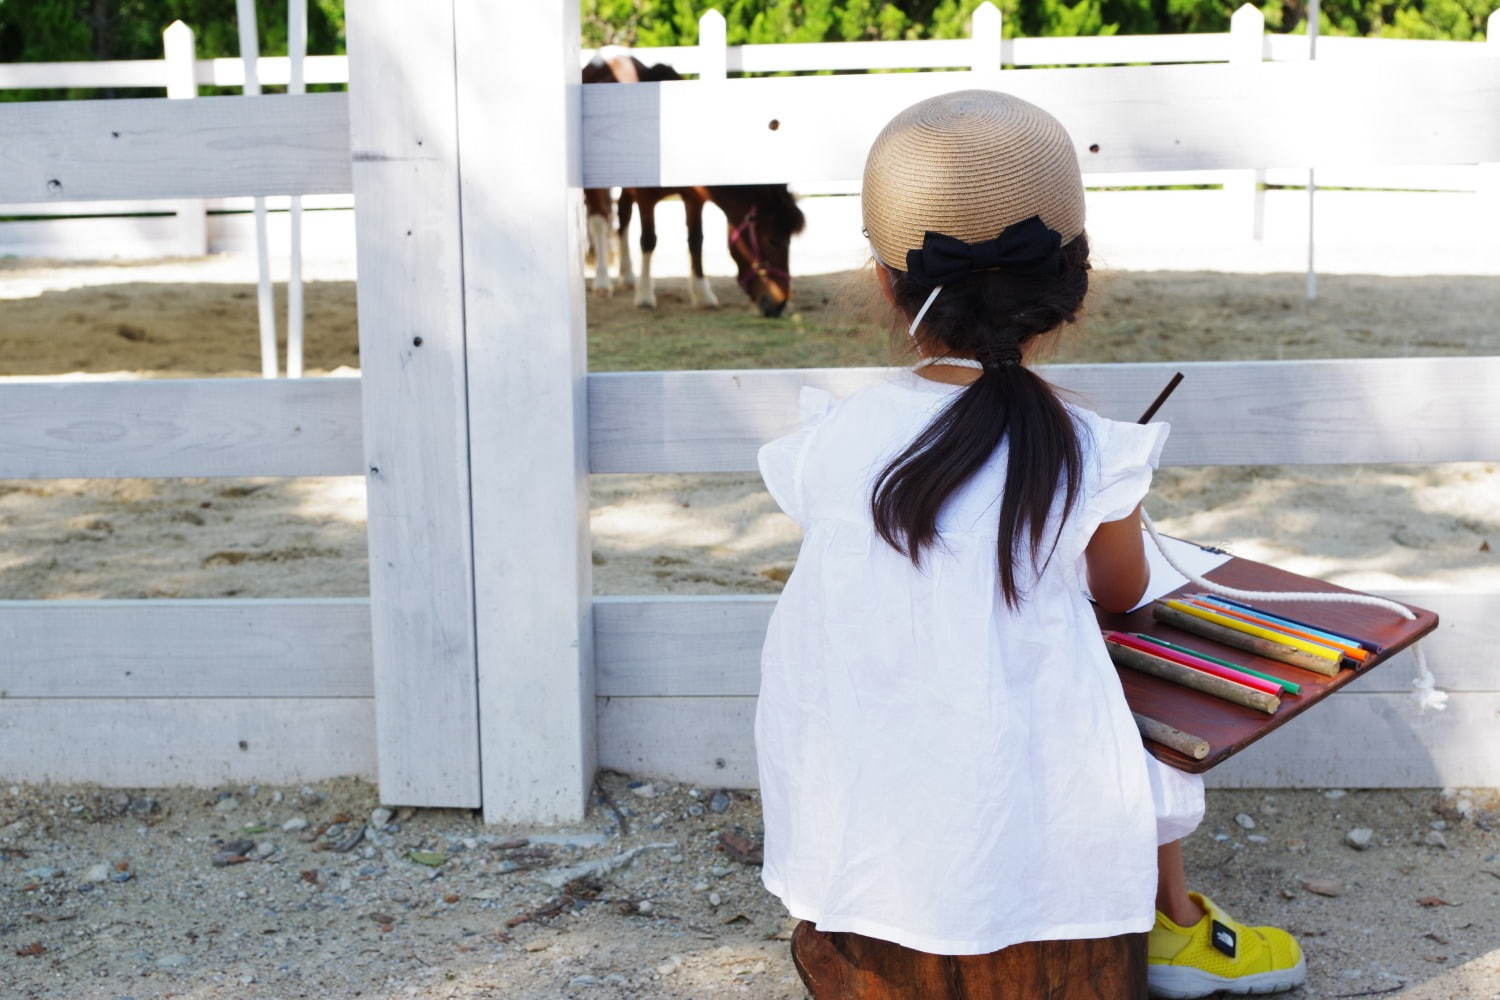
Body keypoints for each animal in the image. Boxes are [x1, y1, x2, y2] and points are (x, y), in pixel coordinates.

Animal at [579, 53, 804, 316]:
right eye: (773, 240)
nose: (778, 305)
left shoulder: (693, 198)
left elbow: (696, 241)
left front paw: (702, 293)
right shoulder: (645, 197)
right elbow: (648, 240)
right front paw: (645, 295)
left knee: (622, 219)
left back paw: (628, 276)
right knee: (599, 223)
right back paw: (603, 281)